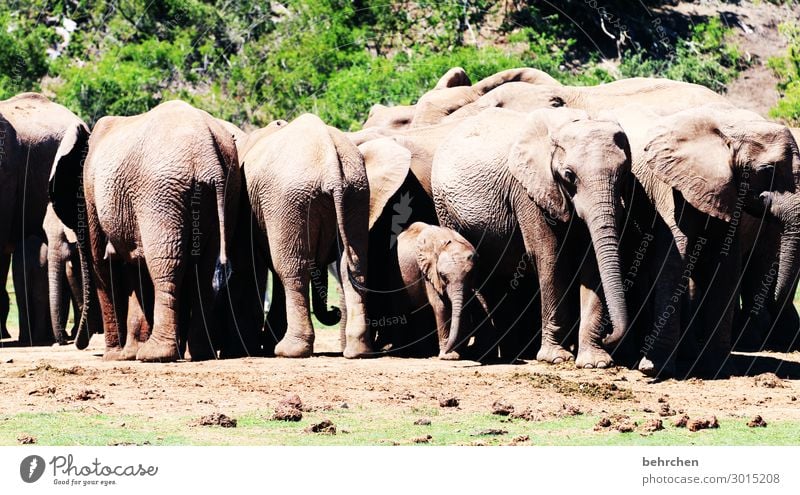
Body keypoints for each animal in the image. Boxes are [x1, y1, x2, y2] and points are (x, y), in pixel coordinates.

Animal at [47, 101, 239, 364]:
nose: (75, 342)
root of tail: (209, 157)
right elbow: (133, 266)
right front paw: (126, 354)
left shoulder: (90, 193)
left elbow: (102, 266)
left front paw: (114, 356)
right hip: (226, 191)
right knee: (204, 270)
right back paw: (200, 353)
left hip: (161, 195)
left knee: (166, 265)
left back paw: (155, 354)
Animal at [236, 114, 382, 358]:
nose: (333, 311)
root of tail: (331, 163)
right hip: (356, 192)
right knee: (354, 265)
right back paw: (358, 350)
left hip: (289, 200)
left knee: (292, 268)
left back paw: (288, 351)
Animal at [432, 106, 632, 366]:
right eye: (569, 175)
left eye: (624, 173)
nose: (610, 337)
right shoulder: (527, 191)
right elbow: (549, 255)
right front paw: (555, 358)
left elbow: (592, 262)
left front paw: (595, 362)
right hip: (445, 208)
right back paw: (487, 355)